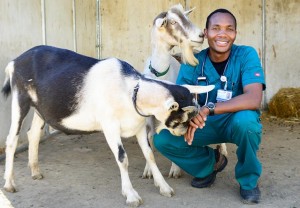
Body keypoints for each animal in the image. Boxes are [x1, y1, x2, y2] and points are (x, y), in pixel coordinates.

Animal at [1, 45, 213, 206]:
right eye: (180, 118)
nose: (183, 132)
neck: (131, 91)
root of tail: (15, 62)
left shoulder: (139, 127)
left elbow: (150, 155)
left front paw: (164, 187)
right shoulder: (110, 126)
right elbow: (123, 158)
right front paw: (131, 195)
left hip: (40, 108)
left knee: (33, 135)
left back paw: (35, 172)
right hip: (20, 100)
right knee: (12, 140)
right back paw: (10, 183)